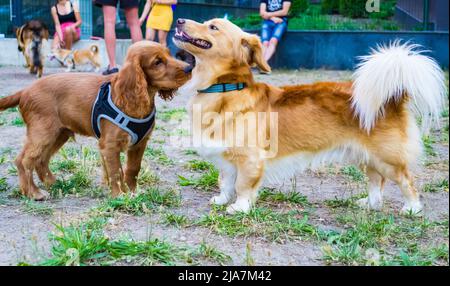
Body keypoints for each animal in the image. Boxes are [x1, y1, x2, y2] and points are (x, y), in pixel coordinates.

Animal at [0, 41, 190, 200]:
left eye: (169, 54)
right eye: (157, 62)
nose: (190, 67)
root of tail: (25, 90)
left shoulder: (139, 143)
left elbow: (133, 169)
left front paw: (133, 192)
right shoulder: (110, 145)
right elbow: (116, 172)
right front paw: (120, 196)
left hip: (59, 134)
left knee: (41, 160)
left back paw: (53, 183)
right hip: (43, 132)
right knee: (24, 160)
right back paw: (33, 192)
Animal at [173, 17, 446, 214]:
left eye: (212, 26)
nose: (180, 20)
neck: (225, 88)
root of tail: (393, 98)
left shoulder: (250, 160)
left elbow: (242, 186)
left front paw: (239, 208)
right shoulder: (228, 160)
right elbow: (226, 181)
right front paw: (222, 200)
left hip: (387, 158)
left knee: (405, 180)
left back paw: (411, 208)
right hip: (365, 156)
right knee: (375, 181)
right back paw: (370, 203)